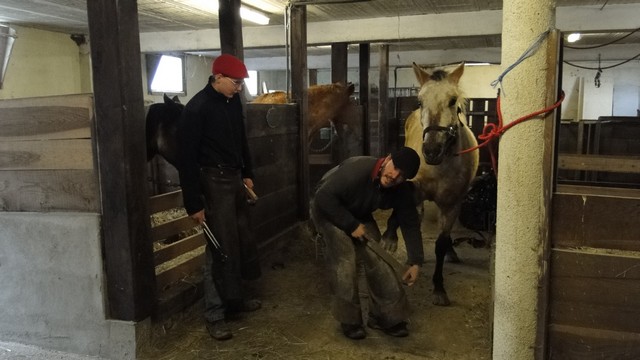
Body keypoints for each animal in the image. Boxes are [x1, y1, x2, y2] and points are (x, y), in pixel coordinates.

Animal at [382, 63, 478, 306]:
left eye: (453, 100)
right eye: (419, 102)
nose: (432, 151)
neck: (441, 166)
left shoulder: (452, 204)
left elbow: (441, 243)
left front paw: (439, 288)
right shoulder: (415, 187)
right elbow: (401, 211)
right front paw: (389, 239)